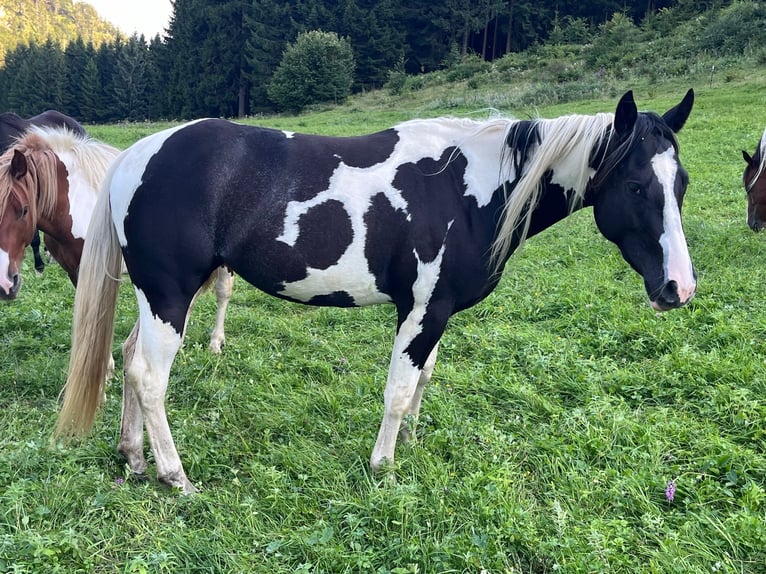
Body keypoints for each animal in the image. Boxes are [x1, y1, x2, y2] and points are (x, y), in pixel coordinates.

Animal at [56, 89, 696, 493]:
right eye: (637, 186)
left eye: (681, 183)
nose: (679, 288)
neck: (469, 189)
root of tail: (138, 155)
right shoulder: (422, 312)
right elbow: (398, 389)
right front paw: (384, 465)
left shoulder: (432, 312)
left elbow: (422, 381)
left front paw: (409, 442)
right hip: (170, 296)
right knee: (148, 377)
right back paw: (175, 477)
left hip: (157, 298)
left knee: (128, 359)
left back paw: (134, 459)